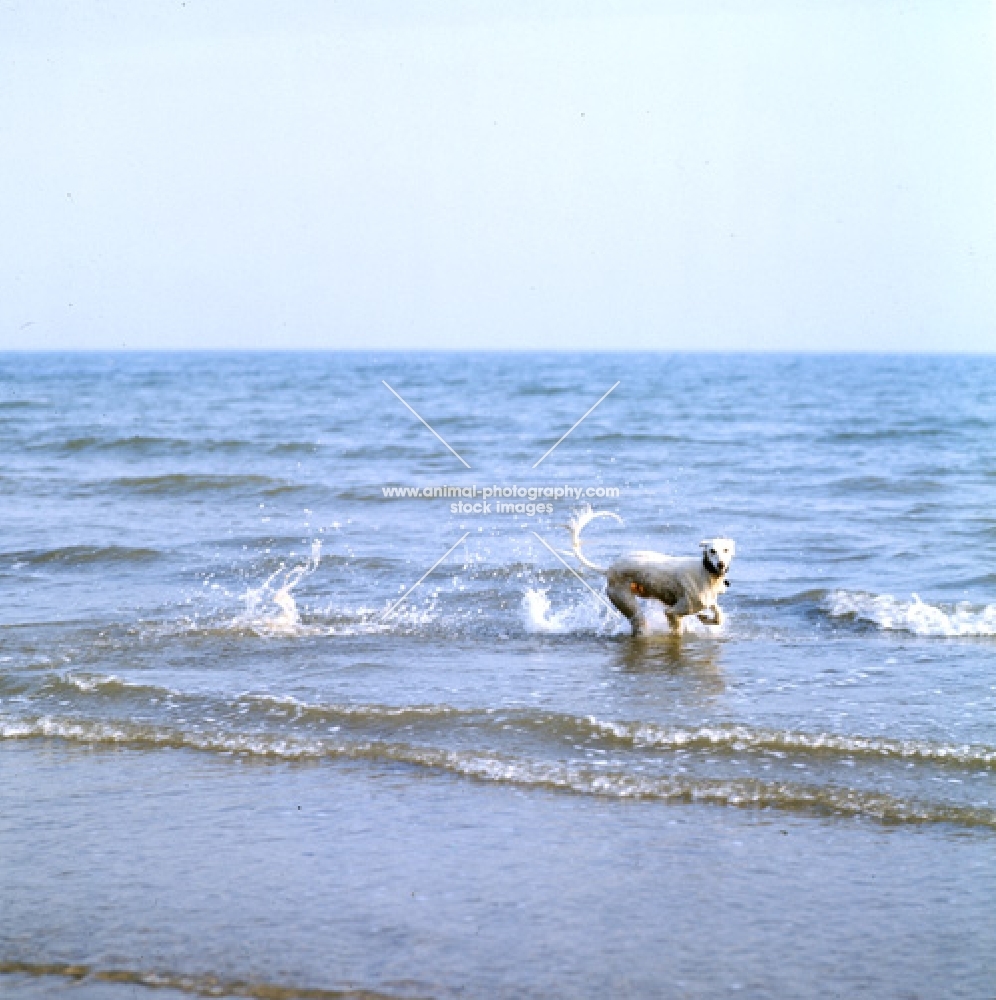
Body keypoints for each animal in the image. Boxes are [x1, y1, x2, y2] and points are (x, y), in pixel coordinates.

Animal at [568, 504, 732, 636]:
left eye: (726, 549)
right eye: (712, 550)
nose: (721, 565)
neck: (706, 573)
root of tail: (610, 569)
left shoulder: (706, 601)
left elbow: (718, 616)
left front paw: (705, 618)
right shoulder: (674, 611)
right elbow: (675, 625)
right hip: (627, 603)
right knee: (640, 624)